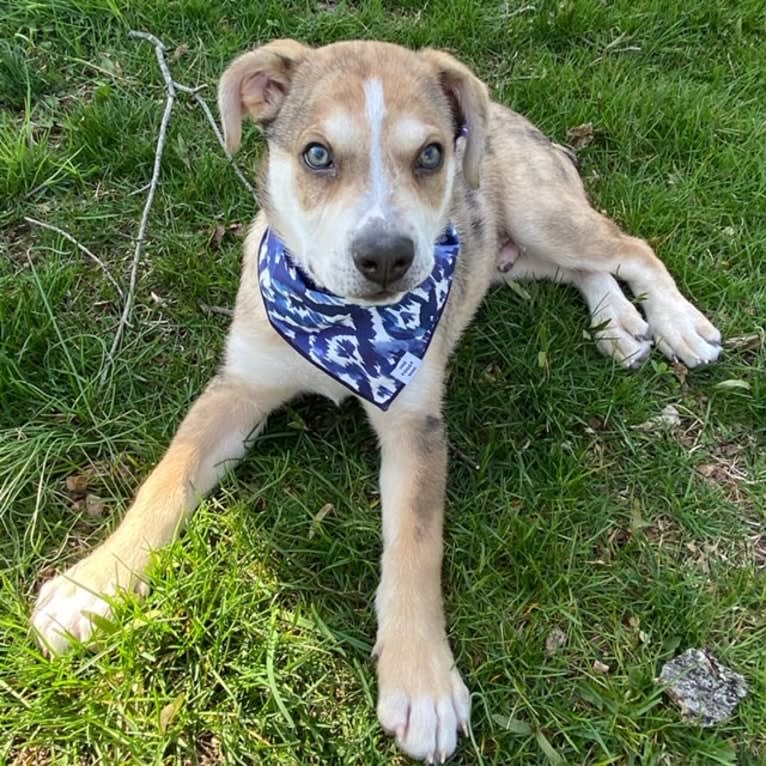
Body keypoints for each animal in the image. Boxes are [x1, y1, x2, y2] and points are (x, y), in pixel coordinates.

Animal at [31, 40, 728, 760]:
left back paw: (677, 322)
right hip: (510, 254)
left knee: (629, 249)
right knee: (582, 270)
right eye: (316, 154)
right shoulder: (239, 387)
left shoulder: (416, 422)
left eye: (430, 155)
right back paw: (619, 324)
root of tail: (512, 115)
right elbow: (167, 477)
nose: (388, 257)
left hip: (542, 216)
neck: (342, 326)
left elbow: (416, 544)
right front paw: (93, 587)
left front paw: (421, 682)